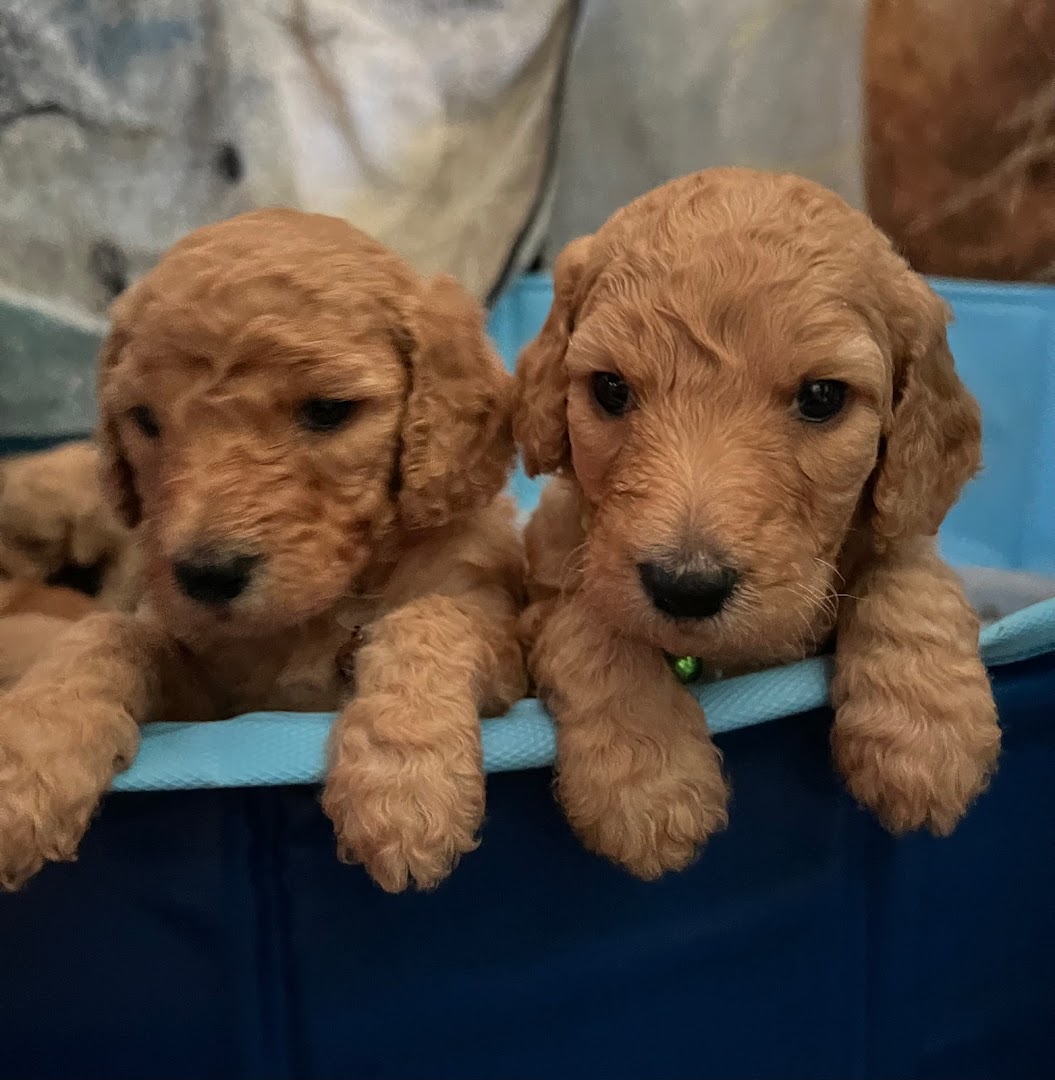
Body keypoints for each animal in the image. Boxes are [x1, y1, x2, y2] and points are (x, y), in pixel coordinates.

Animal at [0, 210, 526, 894]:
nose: (207, 576)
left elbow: (431, 619)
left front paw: (404, 792)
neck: (320, 612)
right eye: (146, 420)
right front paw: (28, 767)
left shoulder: (490, 615)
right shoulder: (209, 697)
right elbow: (110, 633)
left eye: (329, 410)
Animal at [514, 166, 1002, 876]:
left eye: (822, 396)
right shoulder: (547, 582)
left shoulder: (900, 522)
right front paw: (649, 783)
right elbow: (591, 628)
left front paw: (925, 738)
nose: (686, 587)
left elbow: (908, 572)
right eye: (609, 389)